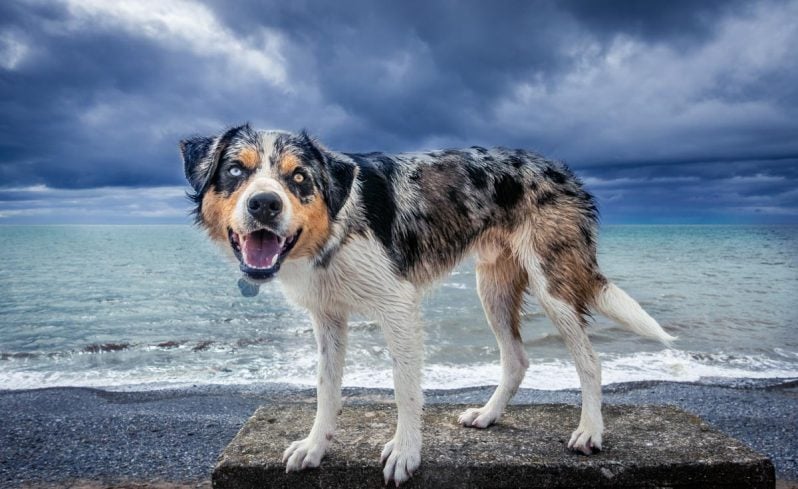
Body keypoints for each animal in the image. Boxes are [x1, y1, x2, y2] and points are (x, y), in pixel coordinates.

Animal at [181, 123, 676, 484]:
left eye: (298, 177)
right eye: (235, 171)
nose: (264, 204)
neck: (333, 226)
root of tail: (564, 170)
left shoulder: (398, 306)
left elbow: (404, 389)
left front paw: (405, 452)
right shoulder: (328, 316)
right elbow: (326, 389)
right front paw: (315, 446)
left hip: (552, 282)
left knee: (590, 360)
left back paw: (590, 431)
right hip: (492, 287)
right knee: (516, 359)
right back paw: (489, 415)